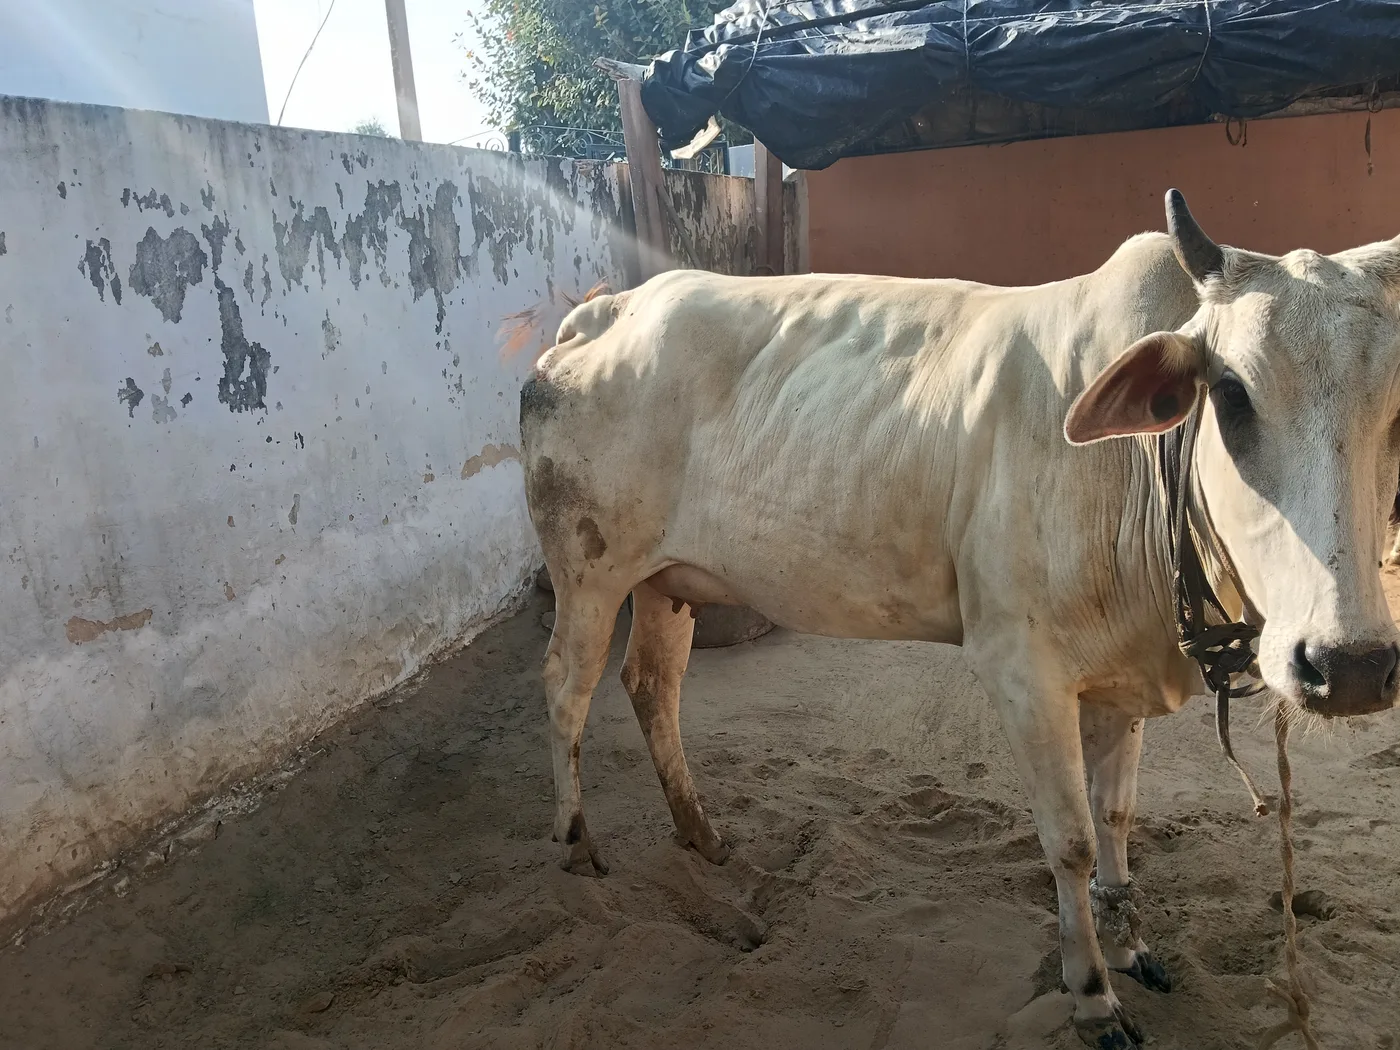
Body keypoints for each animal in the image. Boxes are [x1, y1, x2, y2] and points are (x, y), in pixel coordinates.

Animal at [519, 190, 1400, 1048]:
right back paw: (576, 840)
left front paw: (1130, 945)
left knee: (651, 686)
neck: (1135, 471)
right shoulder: (1021, 670)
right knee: (565, 687)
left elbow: (1116, 818)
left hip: (664, 583)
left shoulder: (1118, 677)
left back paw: (700, 833)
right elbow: (1071, 840)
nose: (1350, 666)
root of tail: (603, 312)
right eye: (1230, 392)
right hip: (589, 572)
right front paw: (1092, 995)